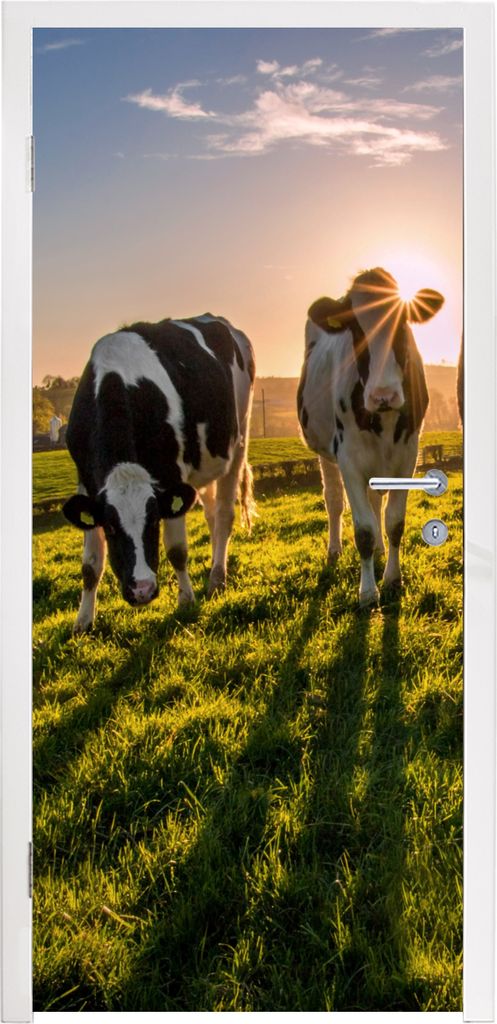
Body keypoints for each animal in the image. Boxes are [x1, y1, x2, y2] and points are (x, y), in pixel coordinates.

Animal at [62, 314, 255, 633]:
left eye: (153, 521)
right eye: (110, 527)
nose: (142, 590)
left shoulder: (171, 475)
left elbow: (177, 550)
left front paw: (186, 601)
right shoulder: (86, 483)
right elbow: (90, 563)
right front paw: (83, 621)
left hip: (238, 438)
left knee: (224, 514)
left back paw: (217, 576)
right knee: (212, 513)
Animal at [297, 267, 444, 606]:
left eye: (403, 324)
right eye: (355, 328)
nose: (383, 395)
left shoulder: (408, 456)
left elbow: (394, 522)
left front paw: (392, 578)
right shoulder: (348, 459)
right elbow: (362, 529)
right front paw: (367, 591)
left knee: (376, 499)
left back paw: (379, 548)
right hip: (325, 453)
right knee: (334, 501)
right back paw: (334, 550)